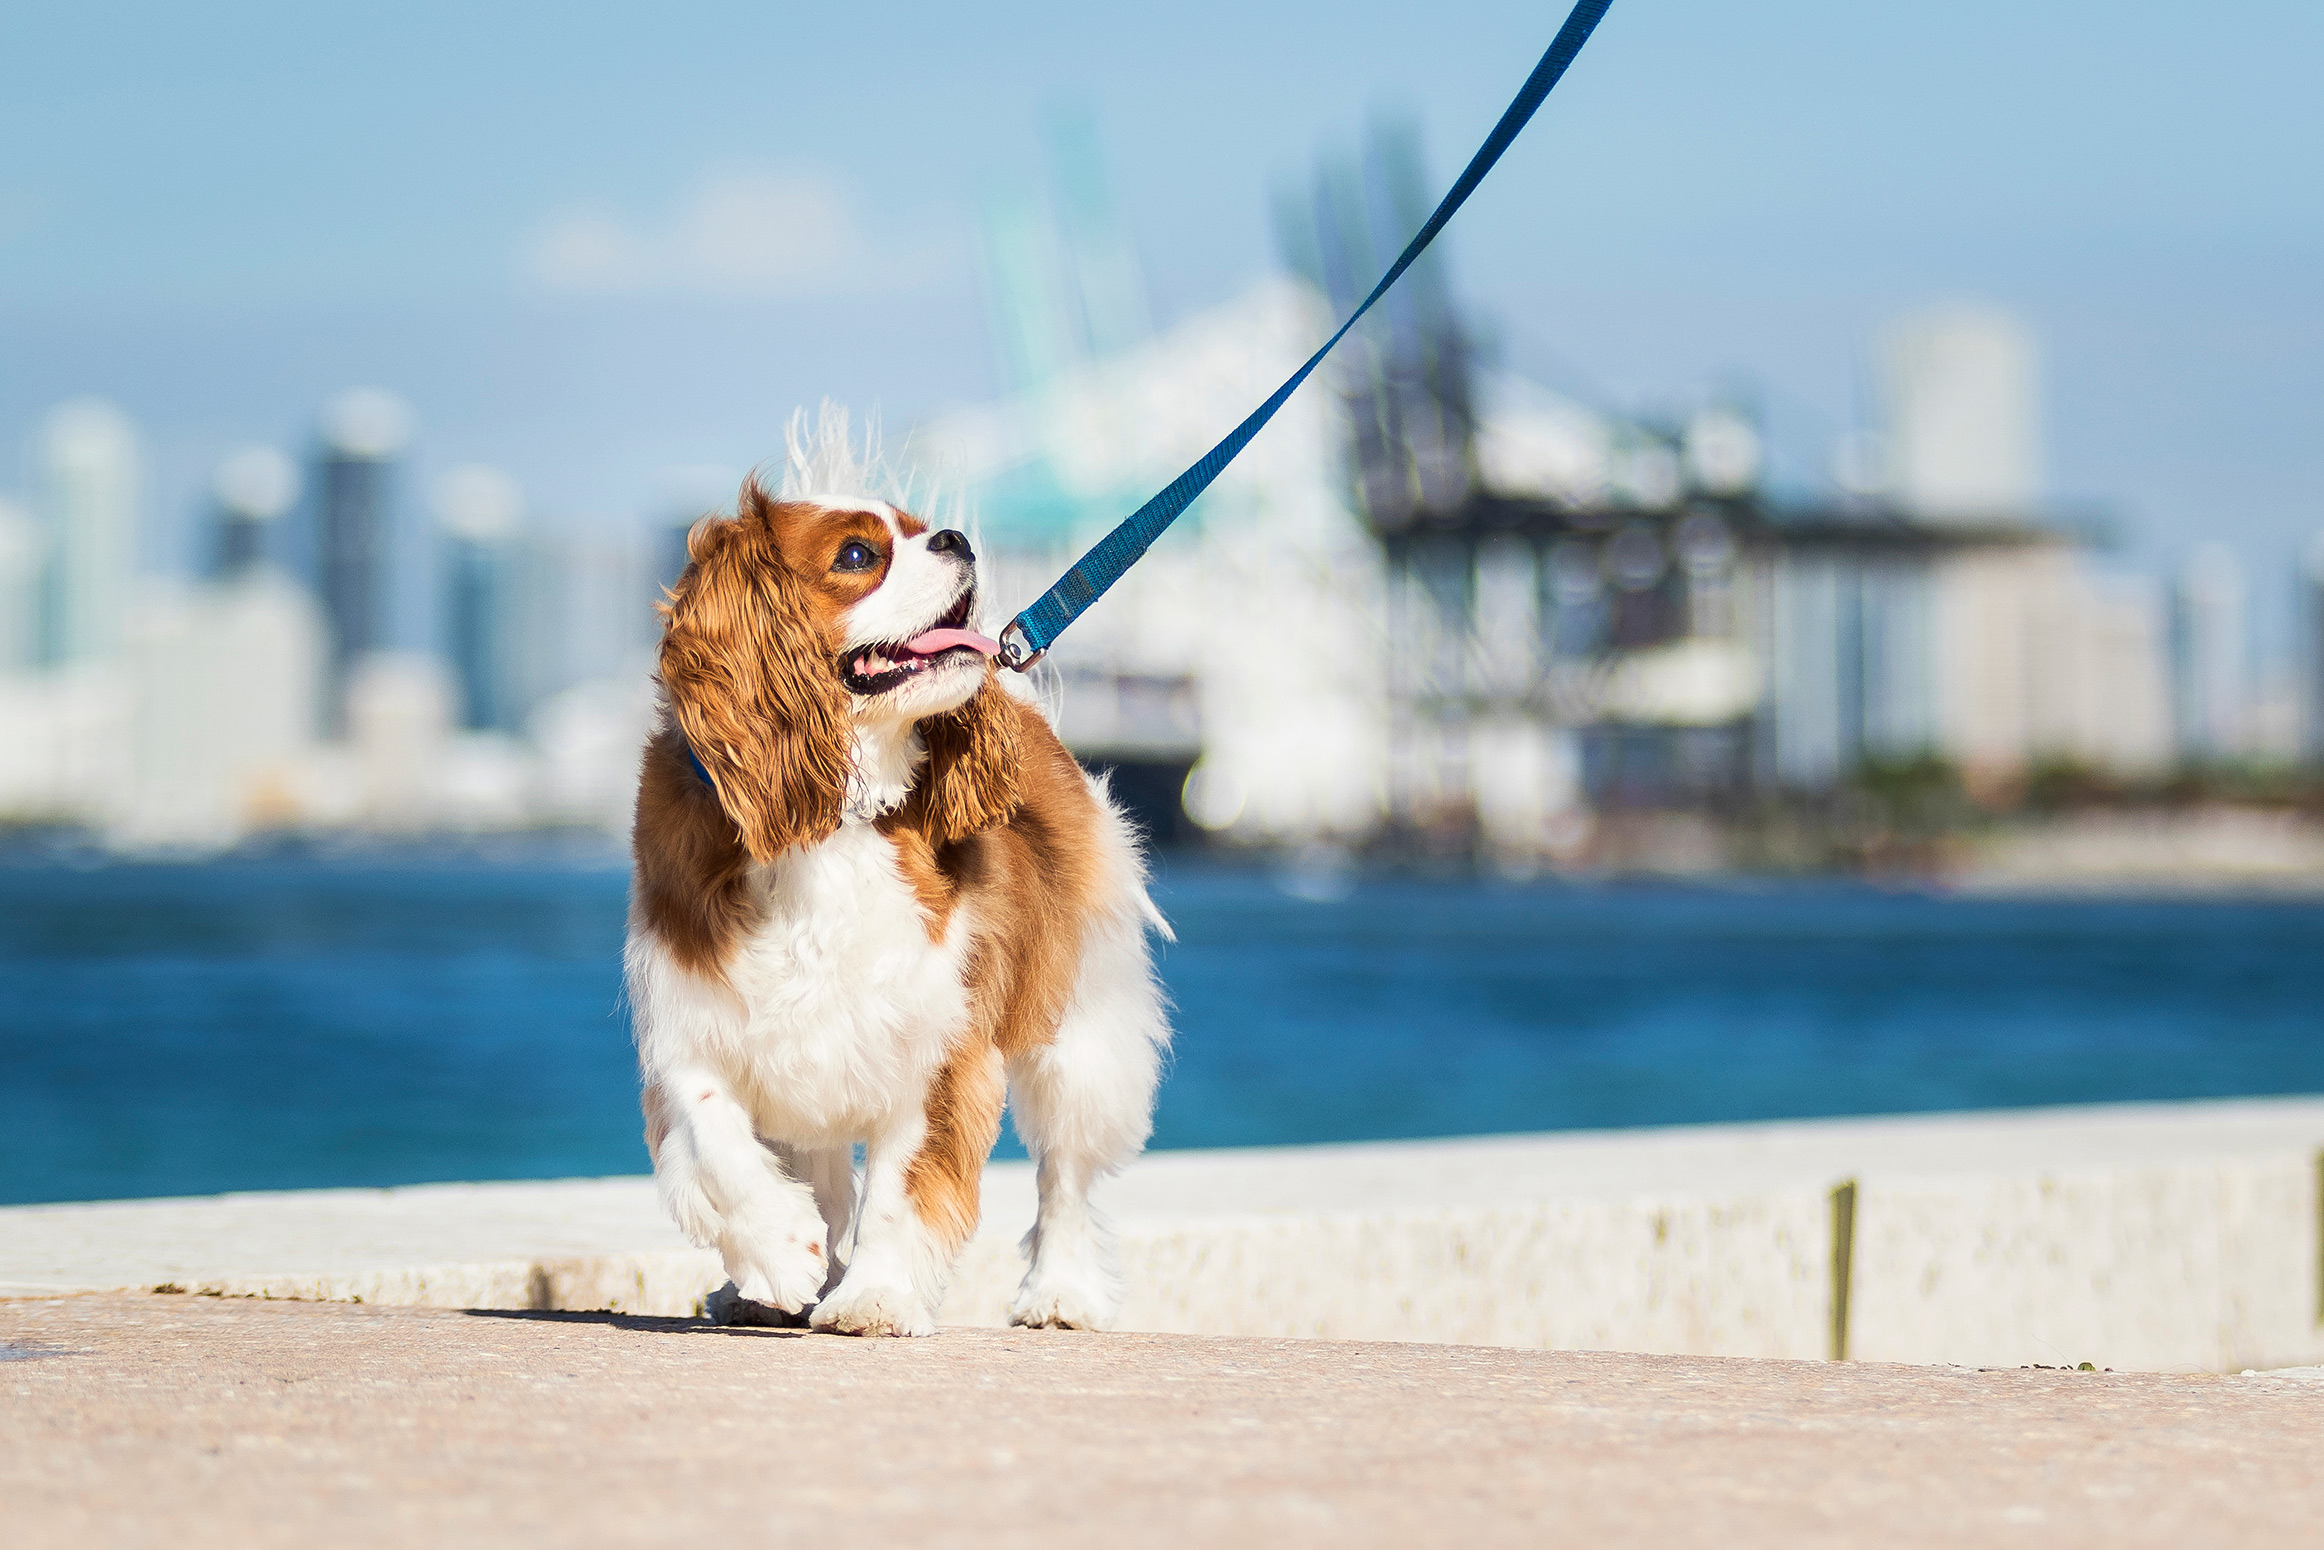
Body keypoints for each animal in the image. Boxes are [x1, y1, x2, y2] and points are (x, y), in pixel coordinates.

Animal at [627, 434, 1171, 1338]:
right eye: (857, 556)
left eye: (923, 531)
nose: (956, 539)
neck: (838, 814)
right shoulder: (688, 1021)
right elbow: (712, 1131)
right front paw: (779, 1251)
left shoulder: (940, 1042)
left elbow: (898, 1189)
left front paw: (875, 1296)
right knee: (815, 1163)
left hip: (1081, 1033)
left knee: (1065, 1173)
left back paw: (1060, 1293)